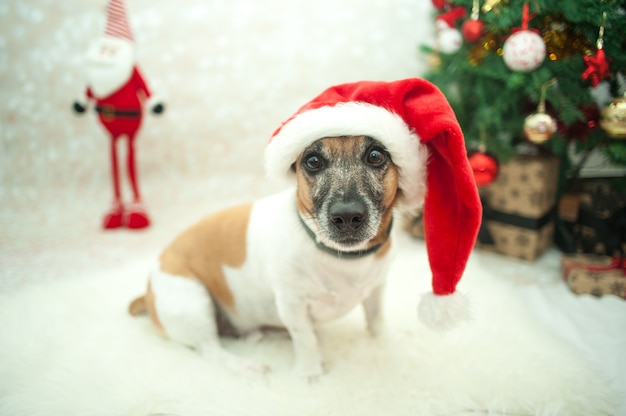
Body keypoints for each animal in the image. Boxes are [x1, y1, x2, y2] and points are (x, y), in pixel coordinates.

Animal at [130, 135, 426, 378]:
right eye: (313, 161)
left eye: (376, 155)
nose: (347, 216)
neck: (345, 258)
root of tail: (148, 290)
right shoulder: (293, 305)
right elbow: (305, 340)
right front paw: (310, 374)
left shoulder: (376, 290)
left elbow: (376, 322)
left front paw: (383, 345)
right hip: (192, 301)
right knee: (211, 350)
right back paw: (247, 366)